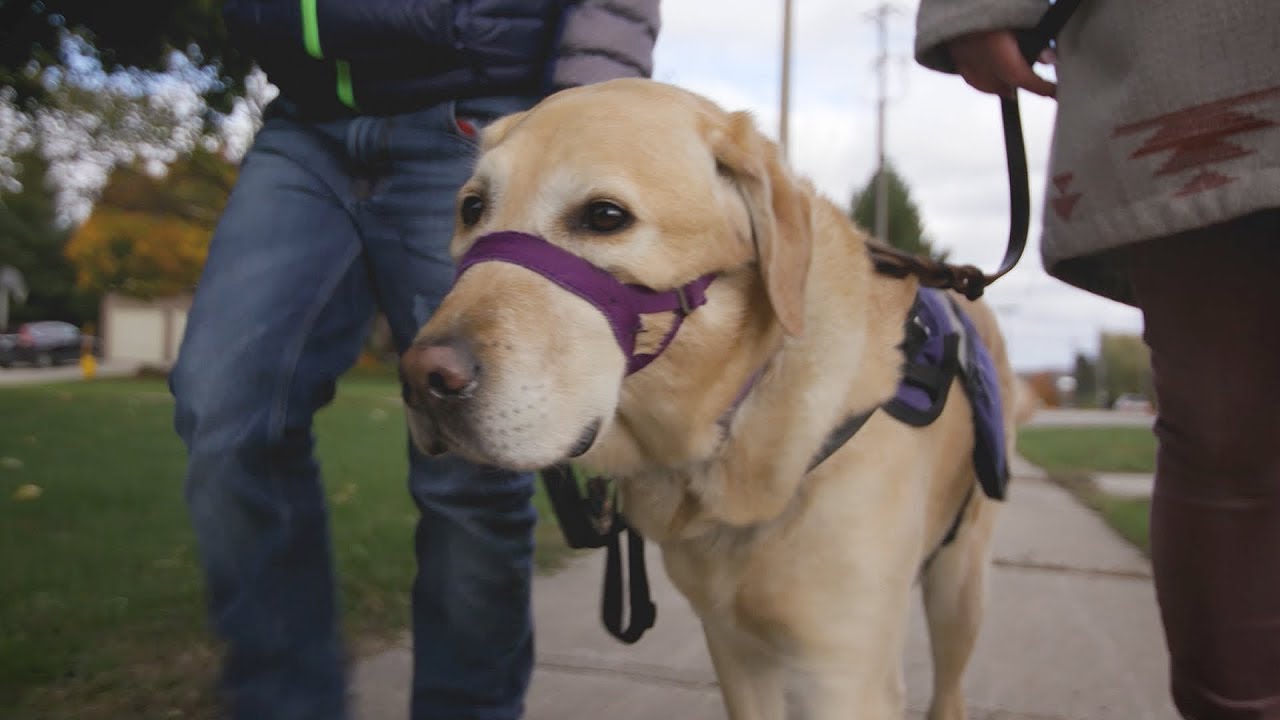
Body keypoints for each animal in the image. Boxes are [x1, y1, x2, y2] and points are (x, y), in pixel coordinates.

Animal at [404, 78, 1024, 717]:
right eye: (472, 208)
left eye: (605, 216)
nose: (422, 378)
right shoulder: (733, 652)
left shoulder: (845, 674)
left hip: (959, 585)